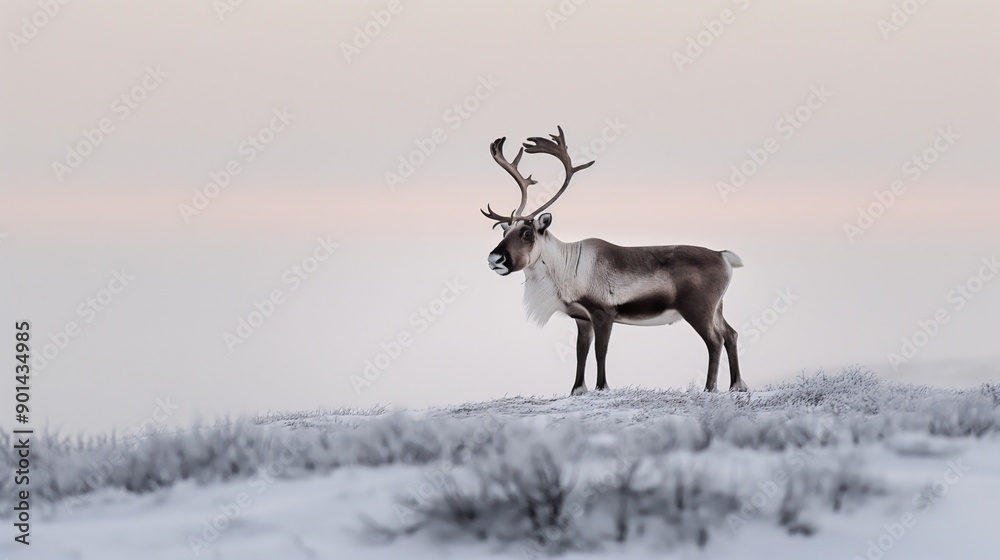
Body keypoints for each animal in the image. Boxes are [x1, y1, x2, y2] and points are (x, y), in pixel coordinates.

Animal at [482, 126, 748, 395]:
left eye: (527, 233)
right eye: (504, 232)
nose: (495, 258)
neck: (564, 268)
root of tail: (722, 255)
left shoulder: (603, 312)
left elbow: (601, 352)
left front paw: (602, 387)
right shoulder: (582, 318)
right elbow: (581, 352)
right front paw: (577, 389)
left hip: (698, 309)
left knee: (715, 340)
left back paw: (710, 388)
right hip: (717, 307)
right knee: (731, 334)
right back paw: (737, 385)